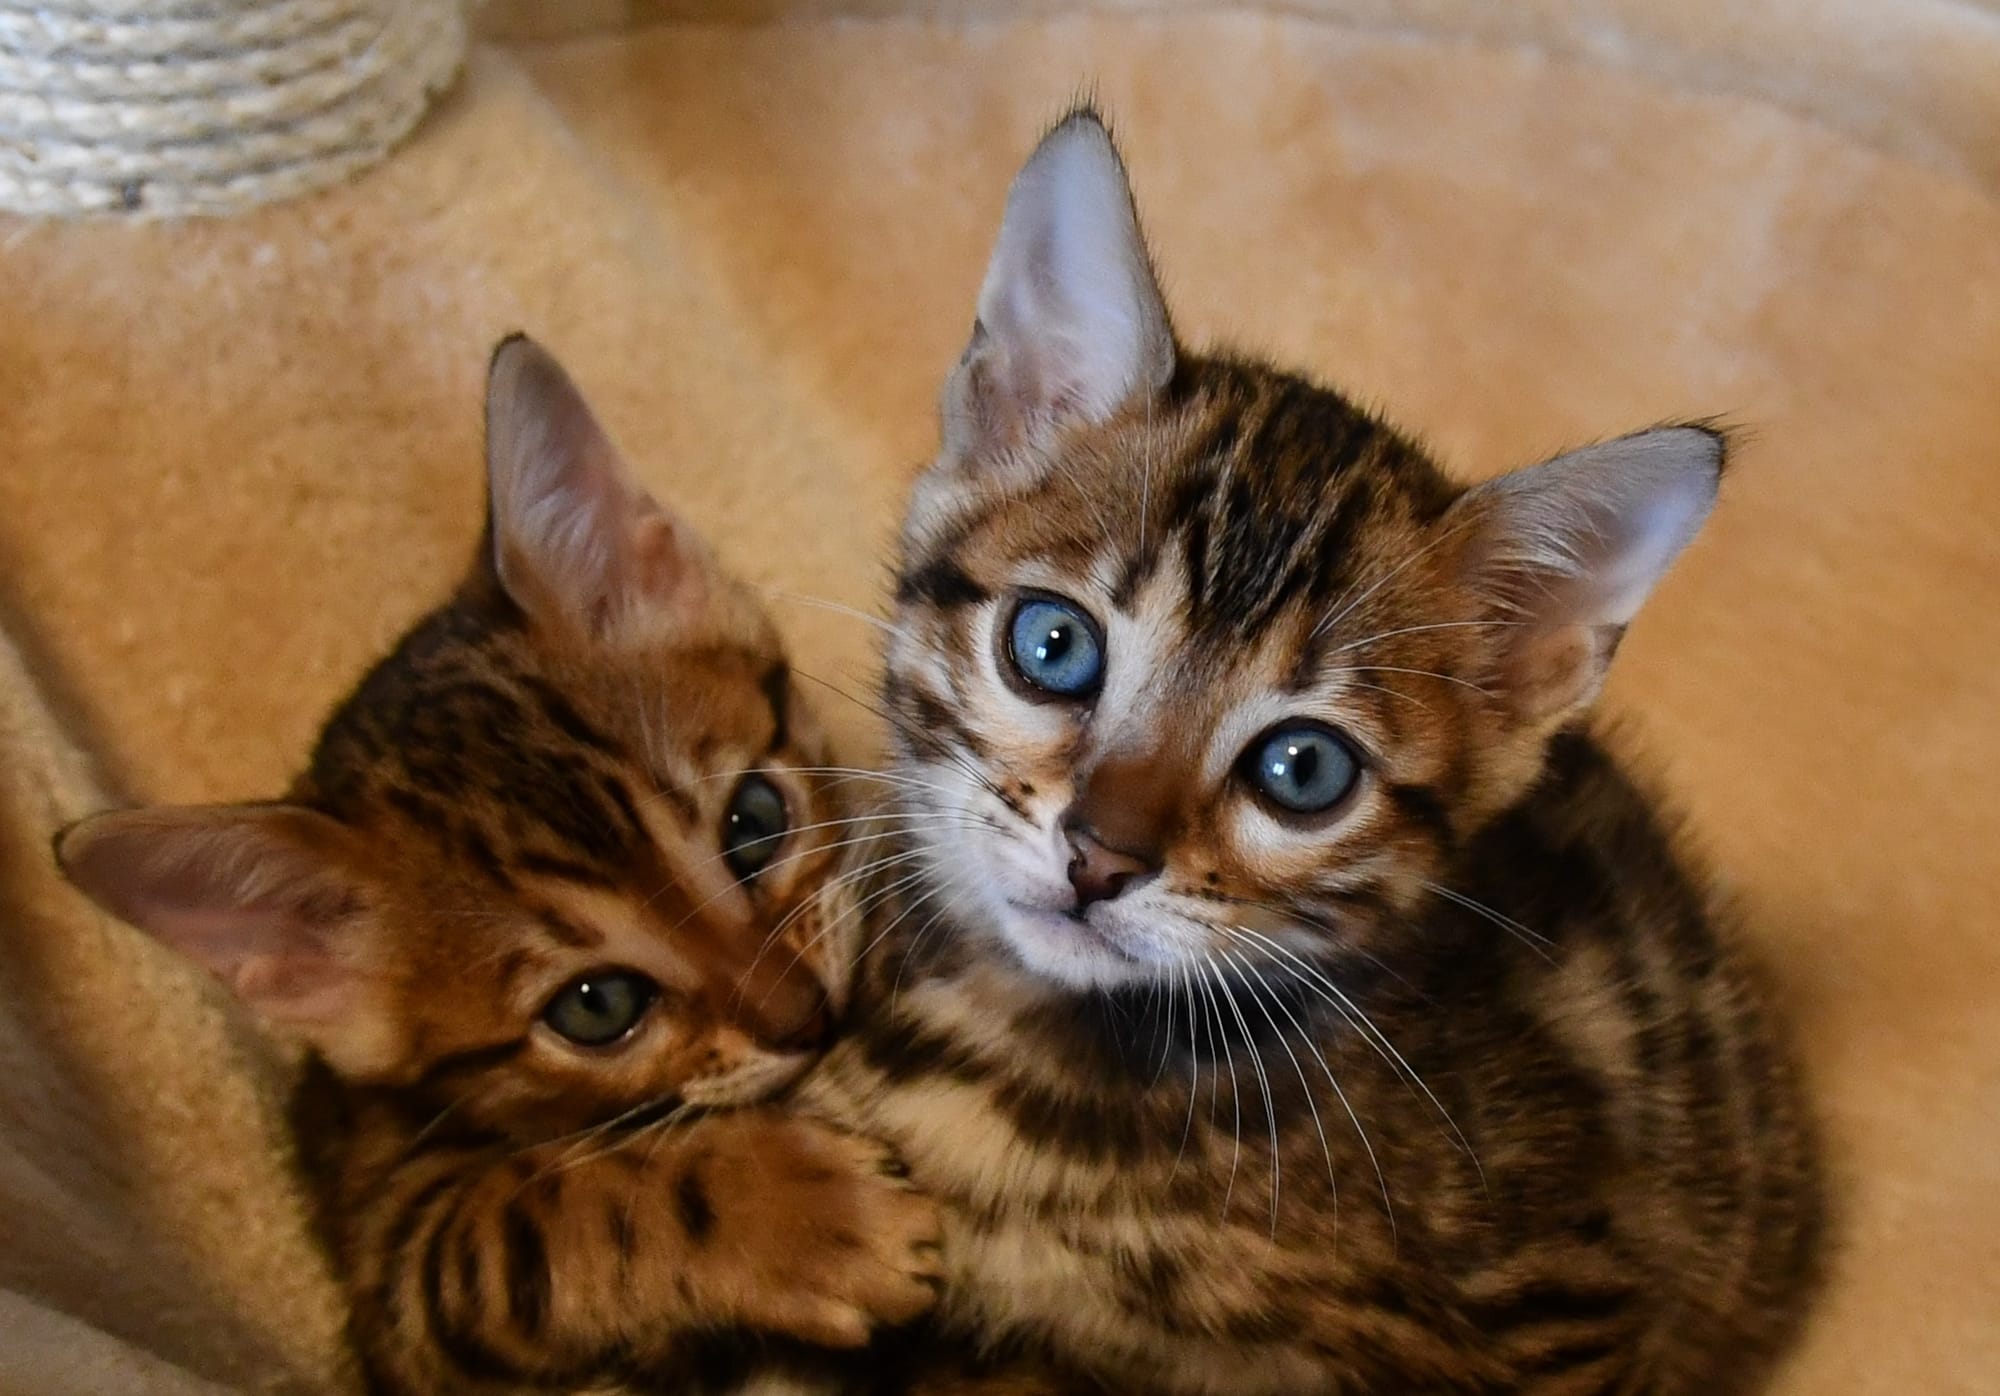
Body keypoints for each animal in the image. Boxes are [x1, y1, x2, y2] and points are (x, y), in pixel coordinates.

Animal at [50, 338, 944, 1392]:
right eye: (596, 1006)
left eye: (755, 823)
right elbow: (551, 1213)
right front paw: (810, 1216)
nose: (807, 1017)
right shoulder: (398, 1260)